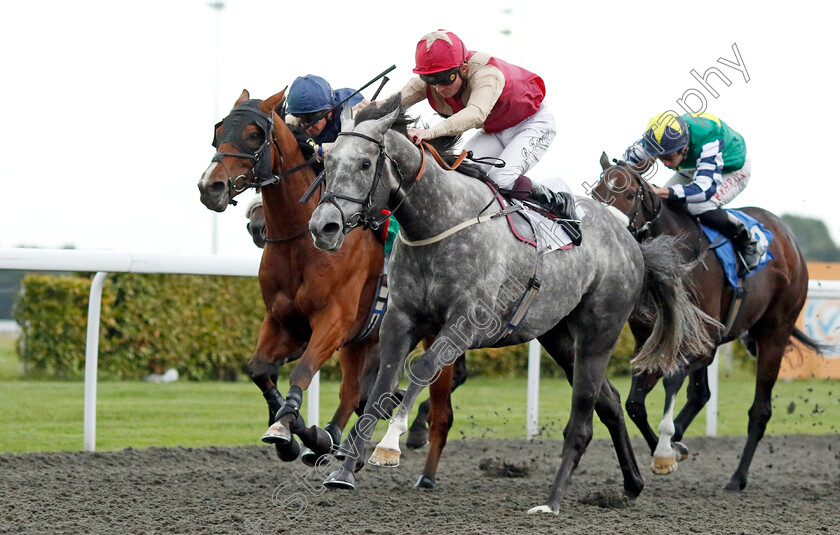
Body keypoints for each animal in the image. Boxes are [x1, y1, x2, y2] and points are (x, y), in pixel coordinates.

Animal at [308, 96, 720, 516]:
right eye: (327, 161)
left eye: (365, 163)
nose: (323, 227)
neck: (439, 221)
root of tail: (631, 241)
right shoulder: (401, 319)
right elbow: (381, 387)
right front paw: (344, 470)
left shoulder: (463, 325)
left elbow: (422, 369)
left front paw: (389, 444)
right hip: (558, 336)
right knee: (609, 402)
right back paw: (632, 483)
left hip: (598, 333)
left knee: (583, 419)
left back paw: (552, 502)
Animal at [592, 154, 828, 490]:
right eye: (597, 190)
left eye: (627, 194)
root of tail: (789, 238)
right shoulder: (651, 342)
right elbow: (635, 404)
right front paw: (669, 448)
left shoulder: (702, 344)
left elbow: (672, 379)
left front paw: (665, 450)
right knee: (701, 394)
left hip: (775, 334)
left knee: (760, 411)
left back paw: (737, 479)